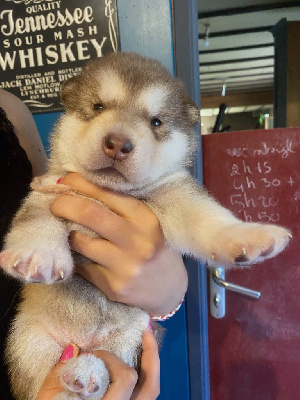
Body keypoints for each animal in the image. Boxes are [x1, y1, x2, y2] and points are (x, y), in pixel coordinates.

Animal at [0, 53, 290, 400]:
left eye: (156, 122)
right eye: (97, 106)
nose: (117, 144)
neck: (111, 193)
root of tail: (82, 345)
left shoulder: (176, 193)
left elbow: (206, 216)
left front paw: (248, 236)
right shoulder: (50, 189)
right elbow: (38, 220)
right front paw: (36, 255)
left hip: (135, 335)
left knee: (112, 366)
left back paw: (87, 373)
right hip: (31, 341)